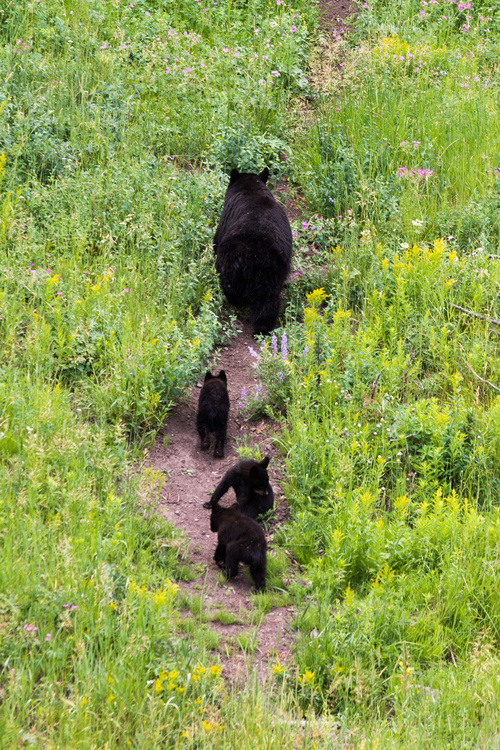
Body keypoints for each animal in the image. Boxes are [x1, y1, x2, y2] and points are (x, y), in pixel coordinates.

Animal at [213, 167, 292, 336]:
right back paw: (263, 328)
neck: (253, 189)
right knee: (268, 300)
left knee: (230, 287)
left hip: (230, 260)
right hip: (272, 272)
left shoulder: (224, 220)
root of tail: (255, 254)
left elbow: (215, 240)